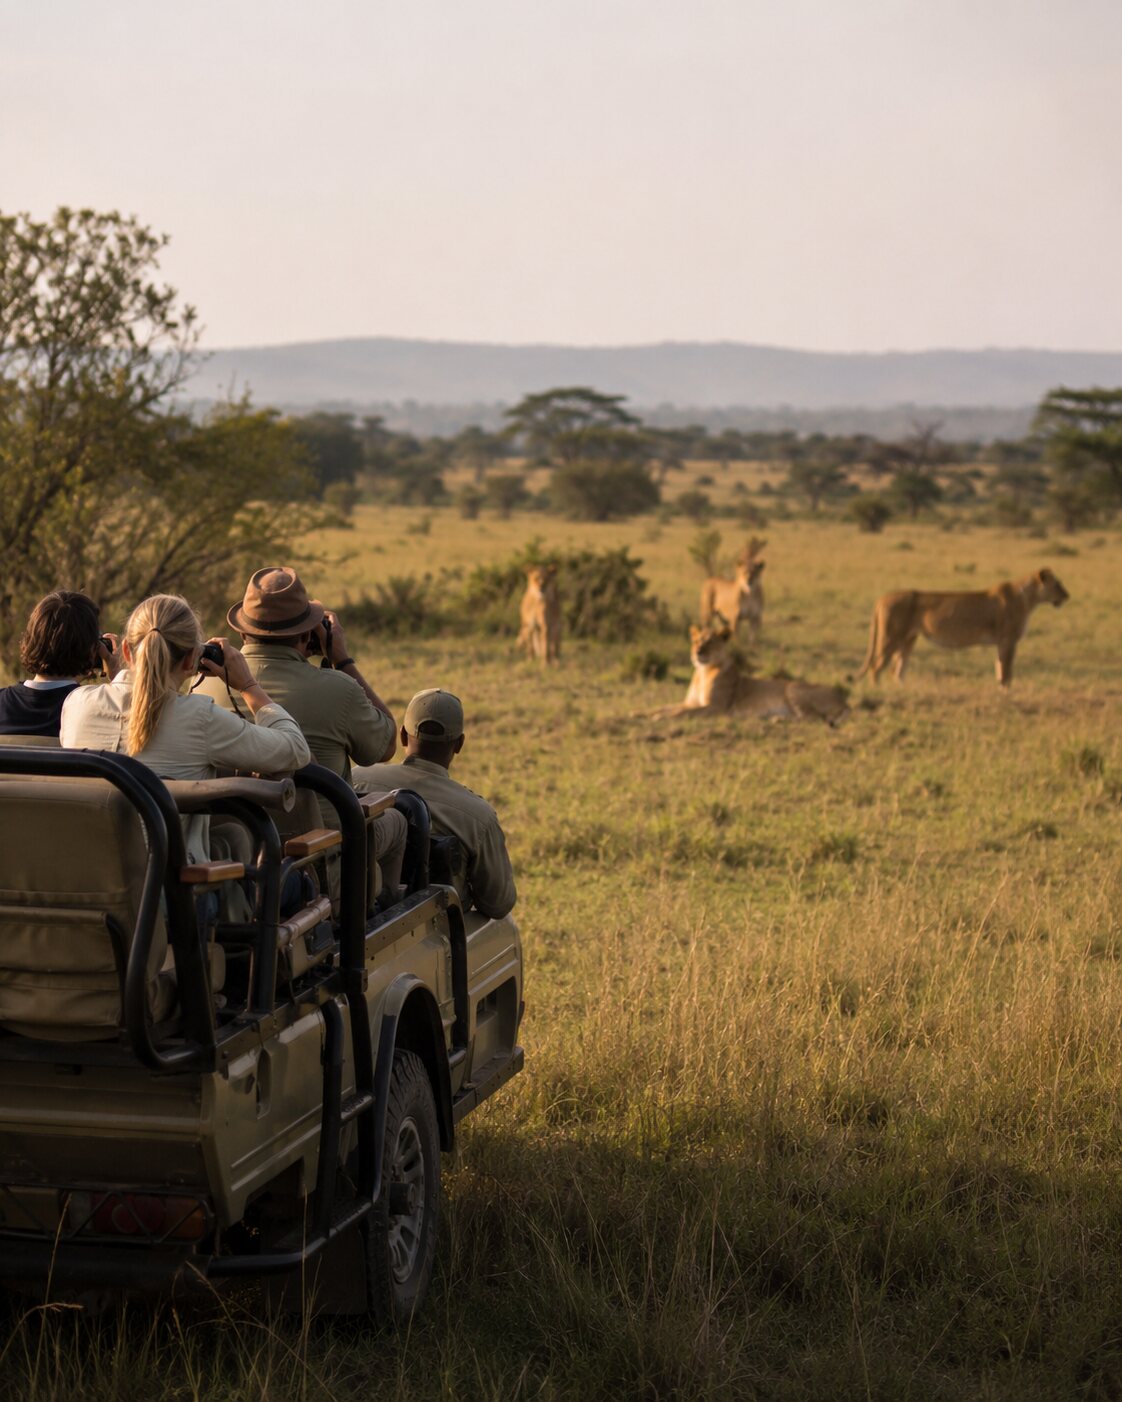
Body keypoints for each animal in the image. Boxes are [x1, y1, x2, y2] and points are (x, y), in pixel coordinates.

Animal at [649, 617, 848, 725]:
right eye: (697, 641)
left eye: (710, 641)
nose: (698, 652)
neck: (702, 673)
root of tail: (844, 698)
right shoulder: (690, 702)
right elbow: (665, 707)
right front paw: (646, 713)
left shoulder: (716, 707)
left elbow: (681, 713)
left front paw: (660, 718)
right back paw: (777, 718)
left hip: (792, 688)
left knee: (812, 717)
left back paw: (777, 720)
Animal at [856, 567, 1070, 687]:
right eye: (1057, 584)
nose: (1067, 596)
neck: (1029, 598)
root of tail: (882, 598)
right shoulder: (1008, 640)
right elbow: (1007, 670)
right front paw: (1007, 692)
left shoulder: (1002, 642)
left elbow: (999, 667)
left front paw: (1000, 690)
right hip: (890, 637)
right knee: (877, 667)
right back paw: (879, 691)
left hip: (908, 639)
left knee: (897, 670)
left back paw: (902, 691)